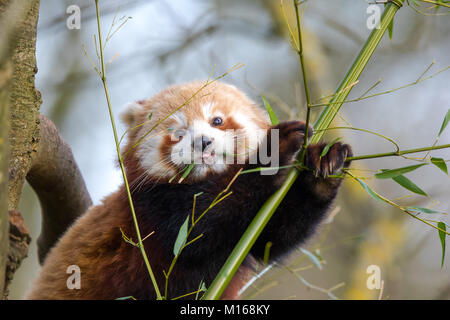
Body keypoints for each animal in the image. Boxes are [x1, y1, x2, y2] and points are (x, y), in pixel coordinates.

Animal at [26, 80, 354, 300]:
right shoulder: (151, 209)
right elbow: (195, 230)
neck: (206, 178)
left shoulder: (245, 237)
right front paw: (275, 148)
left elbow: (273, 237)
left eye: (217, 120)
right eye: (178, 133)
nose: (203, 142)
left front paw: (324, 166)